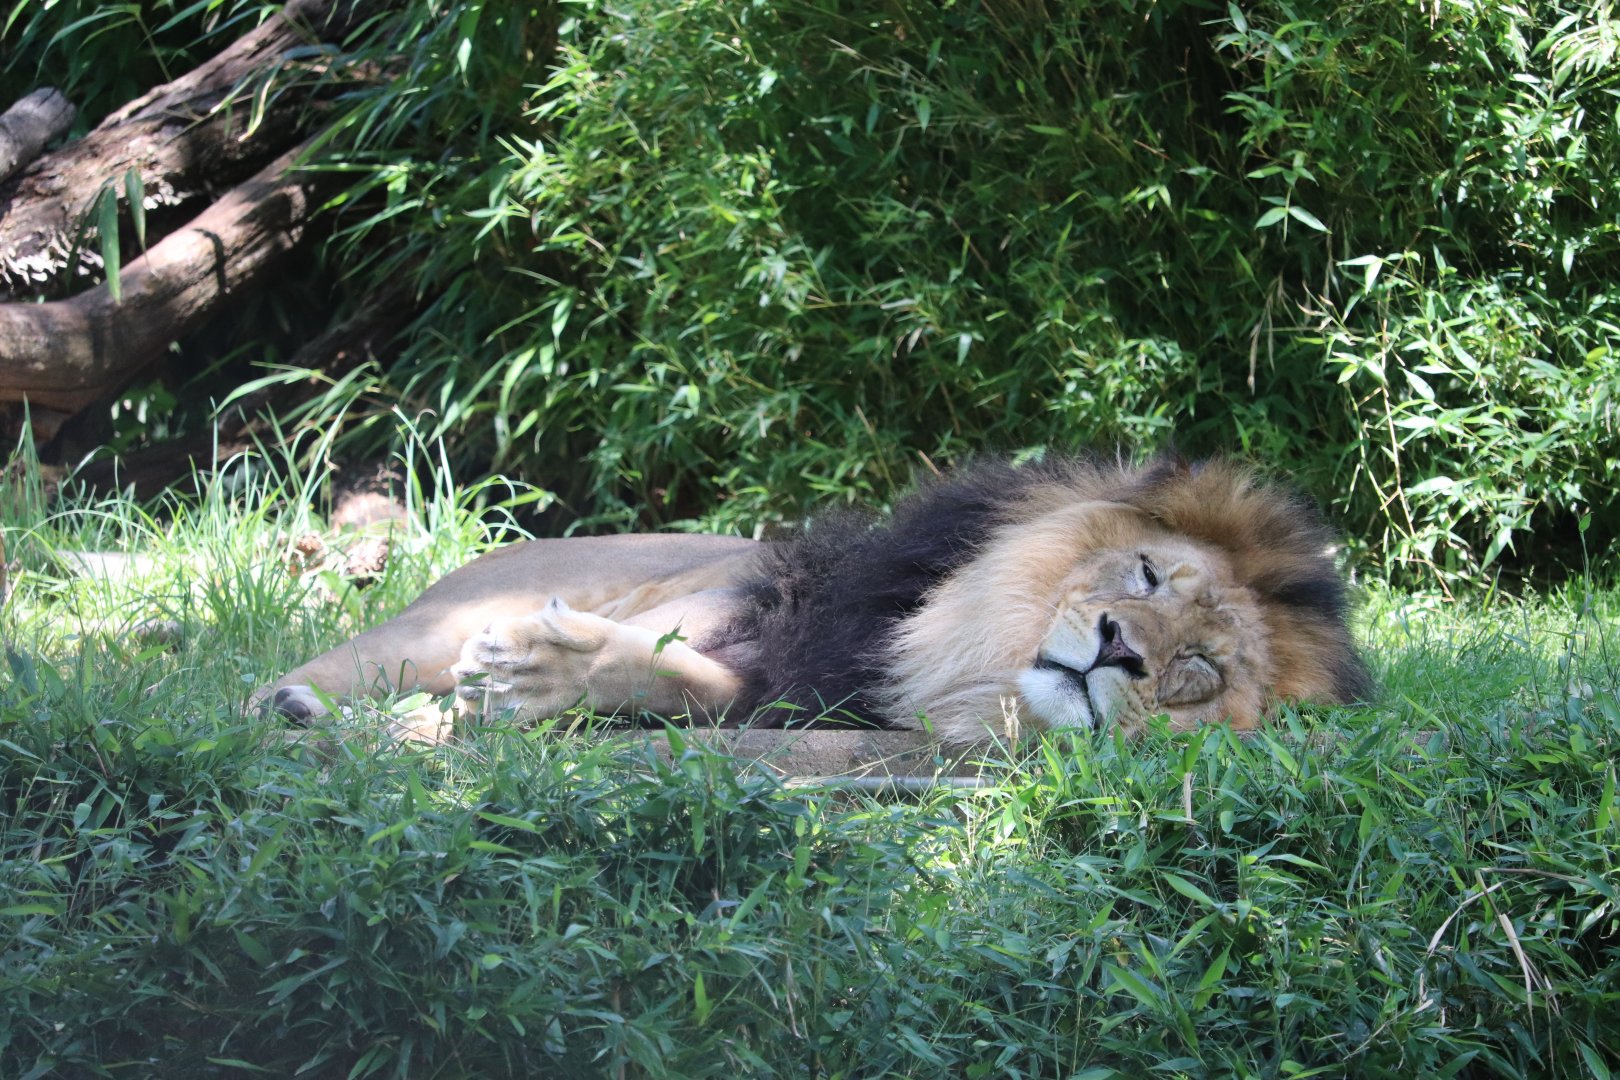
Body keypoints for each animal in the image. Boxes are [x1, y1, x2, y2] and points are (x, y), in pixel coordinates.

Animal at [261, 454, 1371, 745]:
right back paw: (293, 704)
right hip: (424, 626)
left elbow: (691, 683)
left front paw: (544, 677)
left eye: (1197, 673)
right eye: (1143, 579)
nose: (1117, 649)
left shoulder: (796, 689)